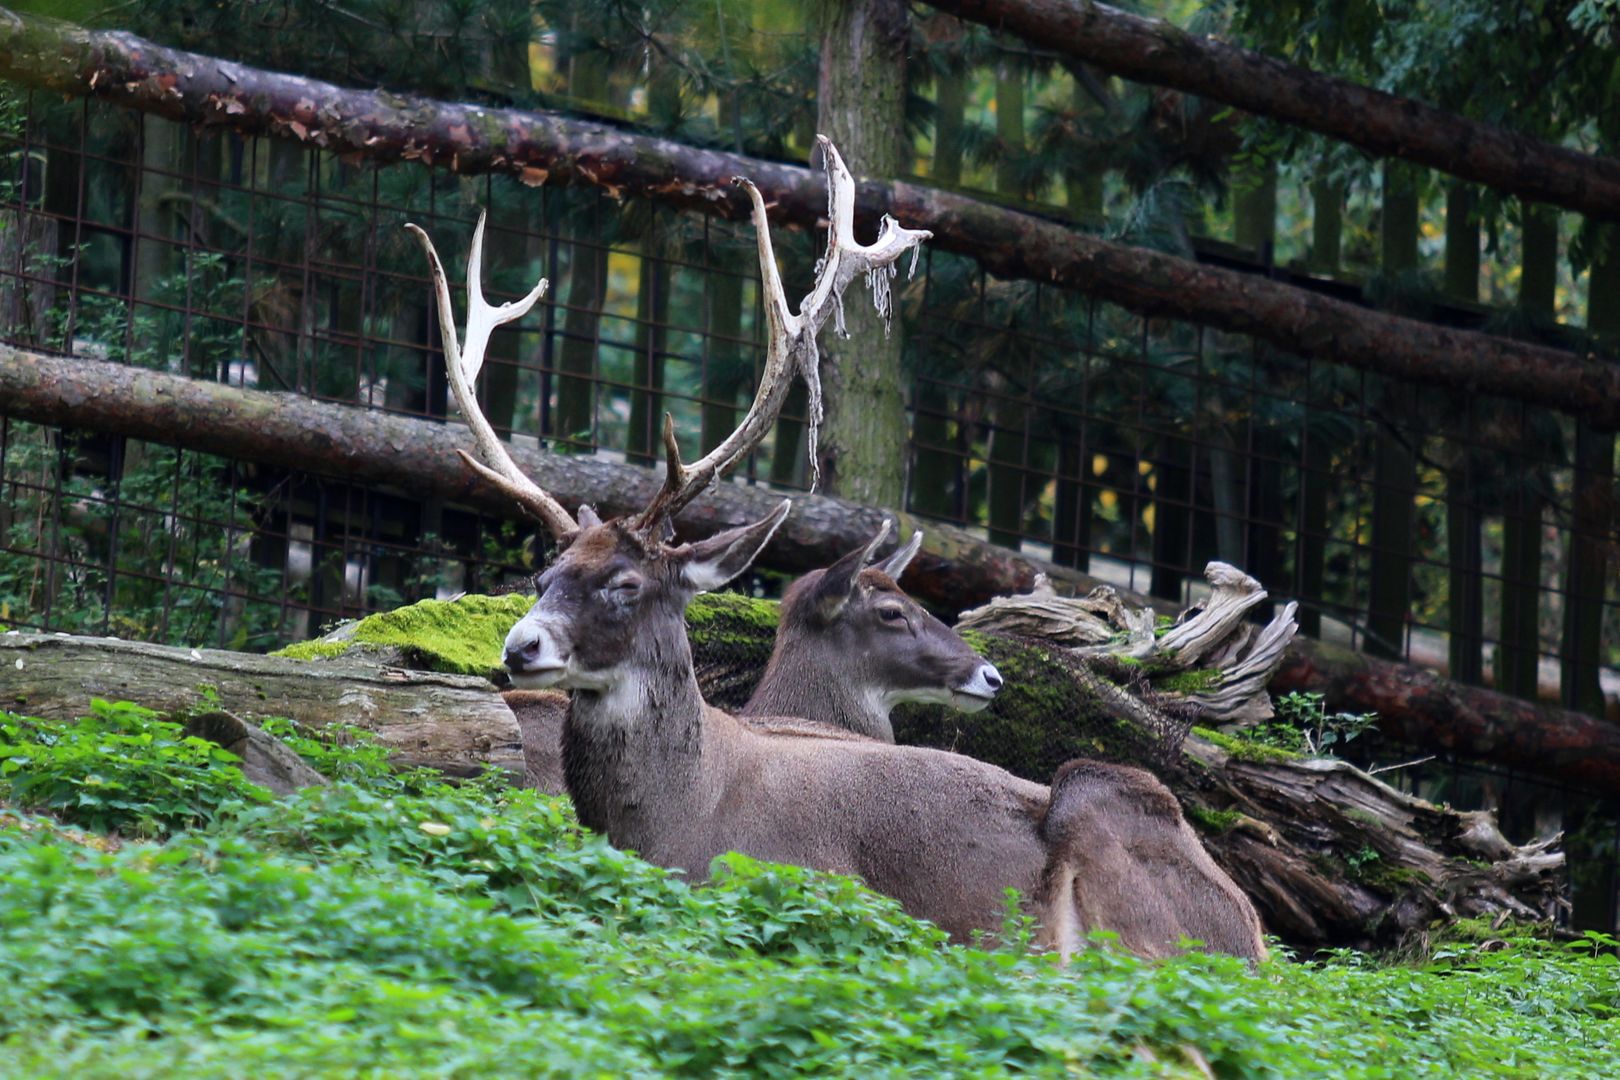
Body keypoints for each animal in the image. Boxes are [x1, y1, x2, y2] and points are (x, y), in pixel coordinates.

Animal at [405, 141, 1263, 965]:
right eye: (544, 575)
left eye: (624, 583)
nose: (520, 646)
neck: (680, 820)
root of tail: (1253, 929)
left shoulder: (808, 874)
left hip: (1106, 818)